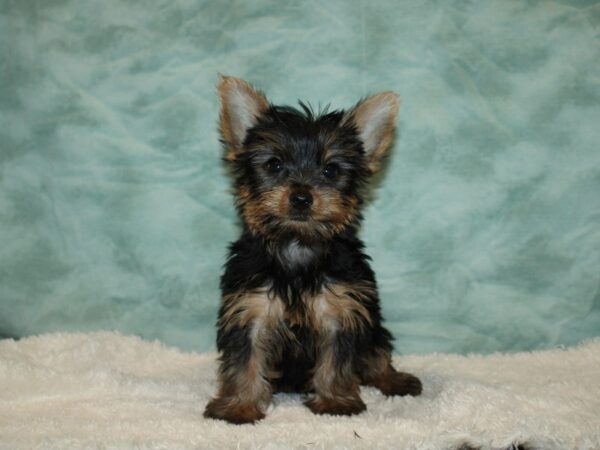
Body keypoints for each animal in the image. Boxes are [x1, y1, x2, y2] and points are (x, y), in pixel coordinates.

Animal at [206, 75, 422, 424]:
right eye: (274, 164)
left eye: (331, 170)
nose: (301, 196)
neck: (298, 244)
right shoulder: (249, 308)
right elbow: (244, 359)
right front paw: (239, 405)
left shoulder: (342, 308)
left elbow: (337, 359)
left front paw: (335, 401)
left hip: (373, 324)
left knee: (377, 352)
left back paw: (394, 379)